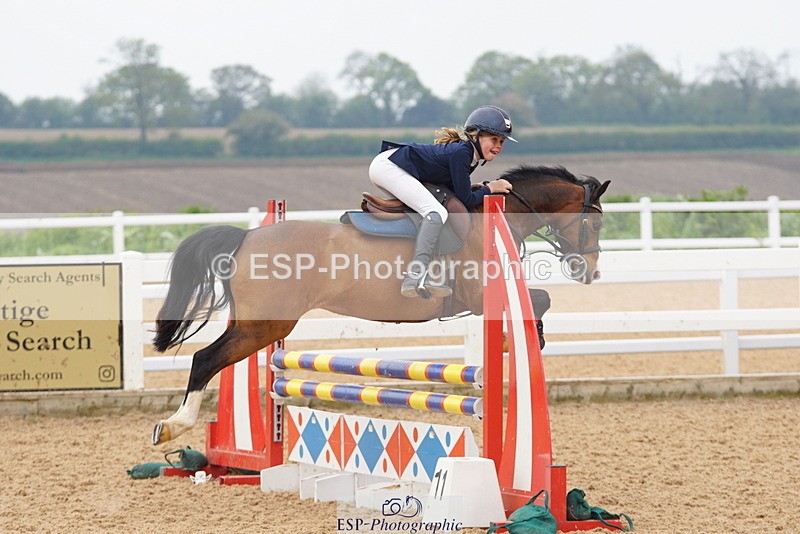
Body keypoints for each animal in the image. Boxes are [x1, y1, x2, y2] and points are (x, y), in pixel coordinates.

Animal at [151, 164, 611, 444]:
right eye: (595, 221)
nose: (588, 270)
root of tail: (246, 236)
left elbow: (540, 299)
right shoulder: (480, 295)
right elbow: (540, 299)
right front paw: (535, 338)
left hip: (253, 324)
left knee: (210, 358)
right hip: (266, 326)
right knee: (205, 359)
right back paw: (173, 427)